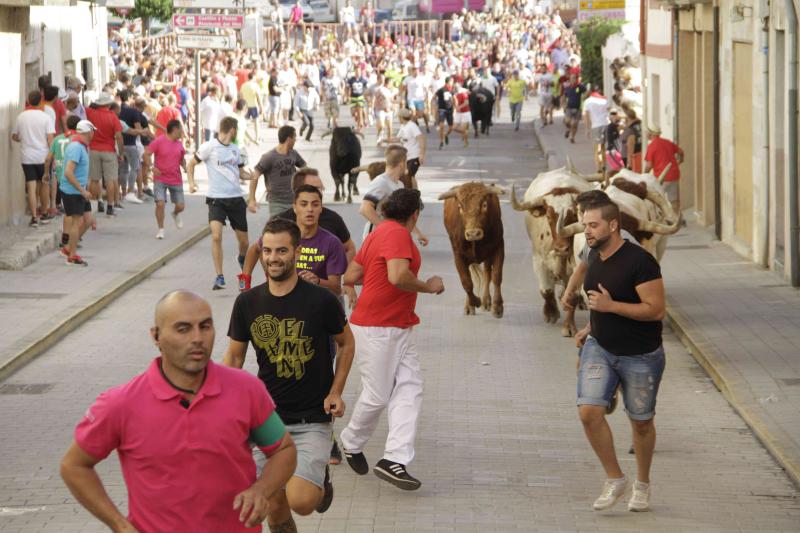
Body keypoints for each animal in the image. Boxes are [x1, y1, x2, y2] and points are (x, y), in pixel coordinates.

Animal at [438, 182, 506, 316]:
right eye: (460, 207)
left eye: (484, 205)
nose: (473, 233)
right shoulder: (458, 256)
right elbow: (466, 282)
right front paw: (474, 302)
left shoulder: (499, 247)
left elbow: (496, 276)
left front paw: (497, 306)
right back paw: (471, 305)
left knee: (487, 273)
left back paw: (486, 301)